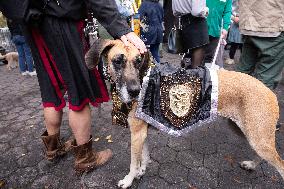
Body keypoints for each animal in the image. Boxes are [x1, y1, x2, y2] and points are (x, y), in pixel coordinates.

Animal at [85, 39, 282, 188]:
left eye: (138, 61)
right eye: (118, 61)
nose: (135, 91)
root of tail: (270, 93)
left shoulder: (137, 133)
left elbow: (134, 161)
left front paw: (128, 180)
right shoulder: (142, 132)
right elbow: (144, 156)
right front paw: (141, 171)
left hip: (258, 138)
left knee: (280, 164)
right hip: (249, 134)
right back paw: (251, 165)